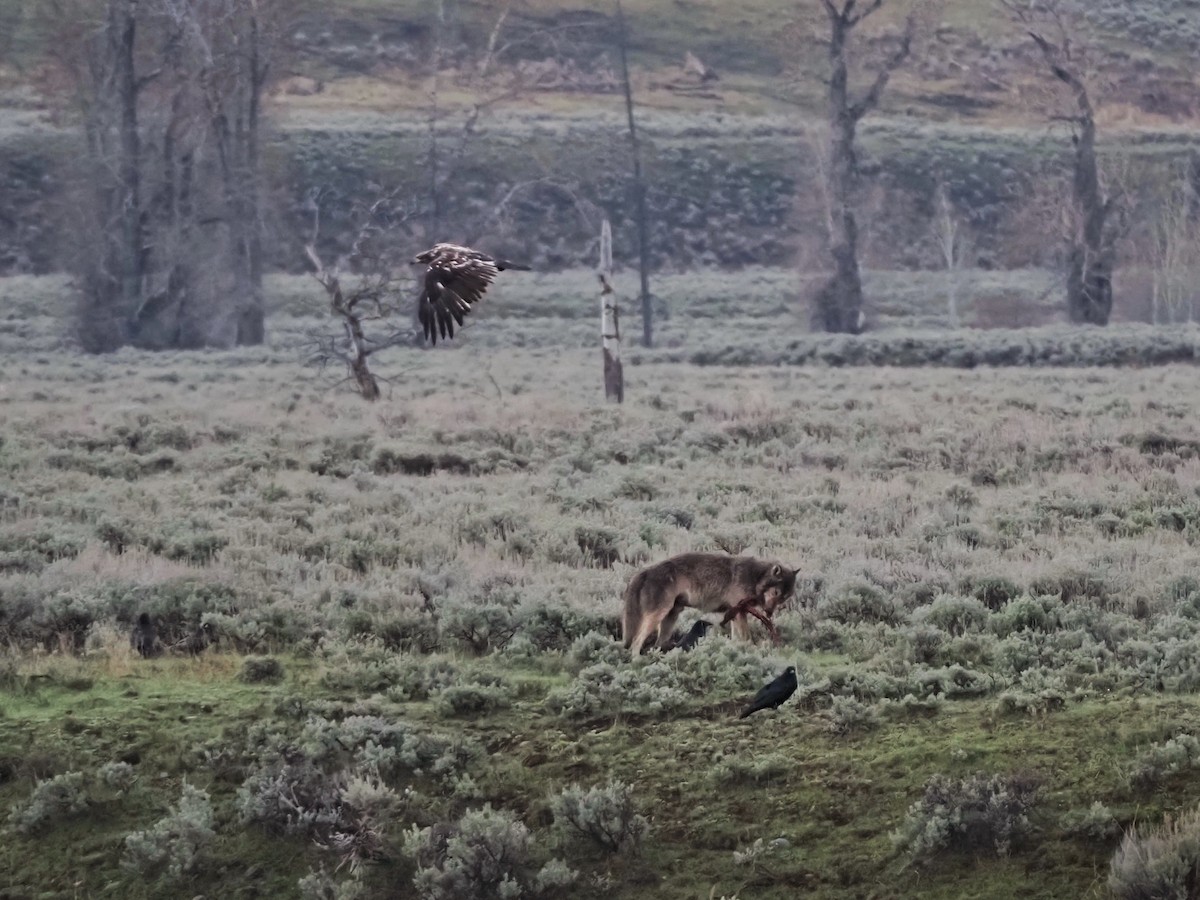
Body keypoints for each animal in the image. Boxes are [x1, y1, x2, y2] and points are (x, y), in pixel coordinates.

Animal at [619, 549, 796, 657]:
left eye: (784, 597)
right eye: (776, 593)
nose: (769, 613)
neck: (756, 577)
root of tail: (644, 572)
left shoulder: (734, 612)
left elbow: (736, 638)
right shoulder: (741, 612)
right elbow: (746, 638)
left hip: (671, 616)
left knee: (657, 643)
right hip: (658, 616)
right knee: (636, 643)